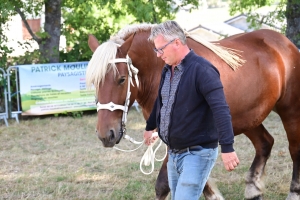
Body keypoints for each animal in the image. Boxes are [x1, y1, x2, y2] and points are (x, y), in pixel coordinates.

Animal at [85, 23, 300, 200]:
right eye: (94, 82)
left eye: (121, 79)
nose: (105, 134)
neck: (159, 69)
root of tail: (285, 43)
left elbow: (164, 185)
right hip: (248, 117)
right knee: (265, 143)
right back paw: (253, 190)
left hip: (290, 110)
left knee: (294, 149)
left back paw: (293, 192)